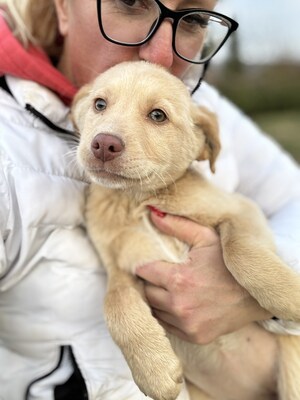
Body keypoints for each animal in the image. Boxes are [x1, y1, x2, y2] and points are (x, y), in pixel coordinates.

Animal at [72, 61, 300, 400]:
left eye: (158, 115)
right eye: (99, 104)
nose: (103, 144)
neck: (137, 201)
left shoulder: (241, 210)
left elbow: (239, 250)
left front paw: (288, 295)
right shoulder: (121, 268)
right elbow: (115, 304)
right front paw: (154, 370)